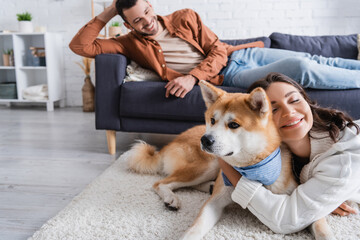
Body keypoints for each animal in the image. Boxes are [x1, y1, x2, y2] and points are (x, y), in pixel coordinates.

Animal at [123, 80, 334, 238]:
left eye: (233, 124)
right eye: (212, 120)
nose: (205, 140)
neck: (254, 169)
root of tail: (173, 140)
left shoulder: (302, 206)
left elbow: (320, 226)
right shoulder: (214, 203)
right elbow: (196, 227)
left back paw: (206, 187)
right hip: (209, 164)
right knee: (161, 183)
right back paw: (171, 198)